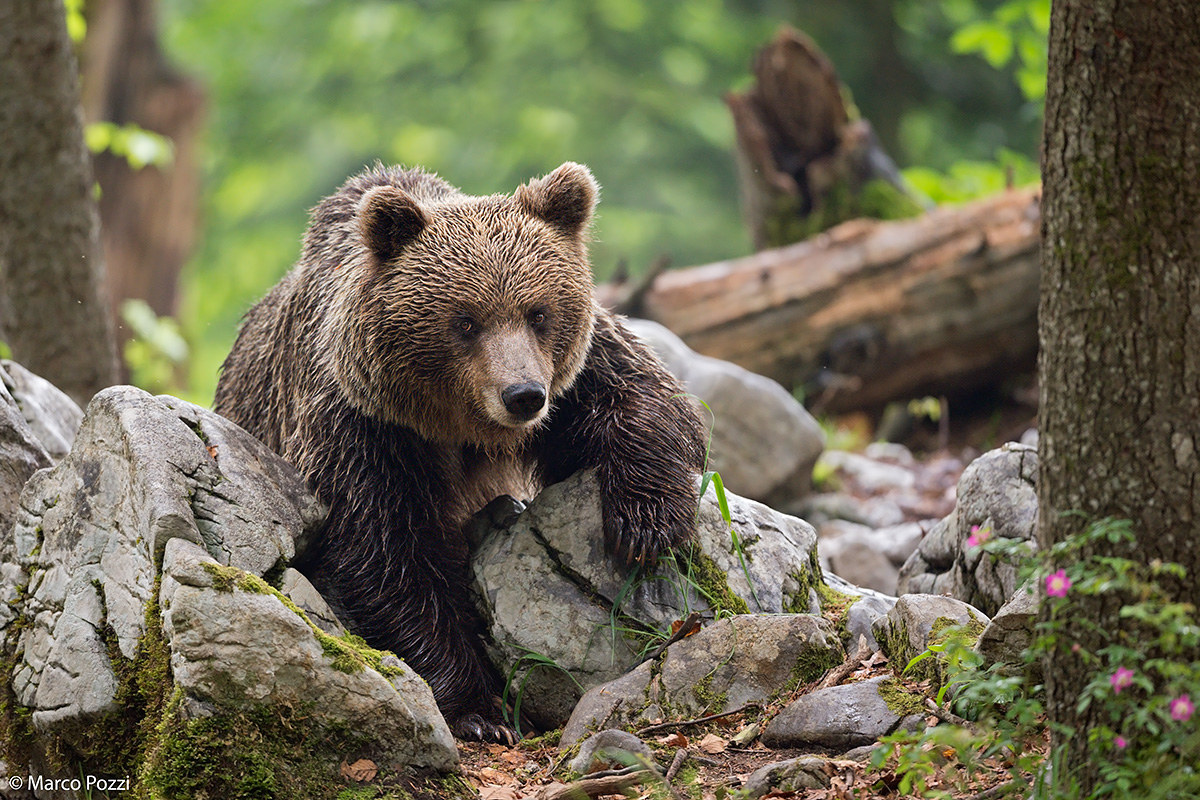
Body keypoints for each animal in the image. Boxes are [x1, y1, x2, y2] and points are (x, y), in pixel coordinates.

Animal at [213, 162, 706, 742]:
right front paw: (481, 711)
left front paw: (644, 525)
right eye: (465, 321)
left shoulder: (577, 376)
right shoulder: (365, 426)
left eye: (538, 313)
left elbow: (644, 396)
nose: (523, 395)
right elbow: (389, 553)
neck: (462, 425)